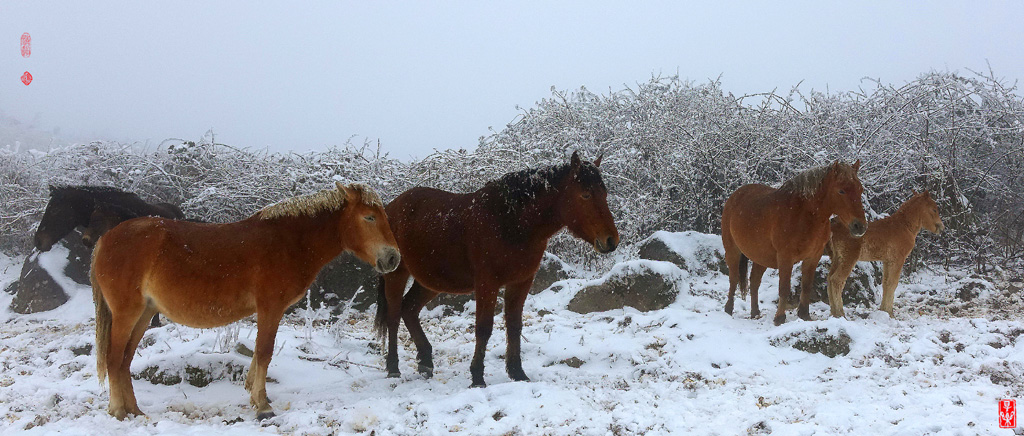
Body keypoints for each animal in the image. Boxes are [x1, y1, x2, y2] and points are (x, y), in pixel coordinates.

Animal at [91, 182, 399, 421]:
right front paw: (262, 406)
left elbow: (258, 355)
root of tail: (105, 239)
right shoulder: (270, 308)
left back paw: (134, 411)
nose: (393, 258)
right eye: (370, 217)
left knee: (124, 360)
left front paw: (254, 394)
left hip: (144, 313)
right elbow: (264, 352)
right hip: (127, 313)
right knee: (114, 358)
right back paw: (119, 411)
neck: (288, 242)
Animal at [374, 151, 614, 386]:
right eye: (585, 195)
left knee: (409, 309)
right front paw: (477, 377)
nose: (611, 240)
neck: (510, 222)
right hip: (397, 274)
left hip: (432, 280)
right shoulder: (487, 283)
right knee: (394, 316)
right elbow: (484, 327)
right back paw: (393, 367)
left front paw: (517, 372)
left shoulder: (521, 282)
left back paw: (425, 362)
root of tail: (390, 208)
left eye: (604, 193)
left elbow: (514, 325)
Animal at [720, 161, 864, 325]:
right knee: (733, 278)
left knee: (754, 281)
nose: (859, 226)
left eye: (860, 189)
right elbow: (784, 288)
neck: (804, 215)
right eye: (841, 191)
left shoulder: (813, 257)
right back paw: (728, 309)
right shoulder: (785, 257)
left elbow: (806, 286)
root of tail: (735, 195)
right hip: (732, 250)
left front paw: (804, 315)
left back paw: (755, 313)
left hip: (761, 257)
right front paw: (779, 318)